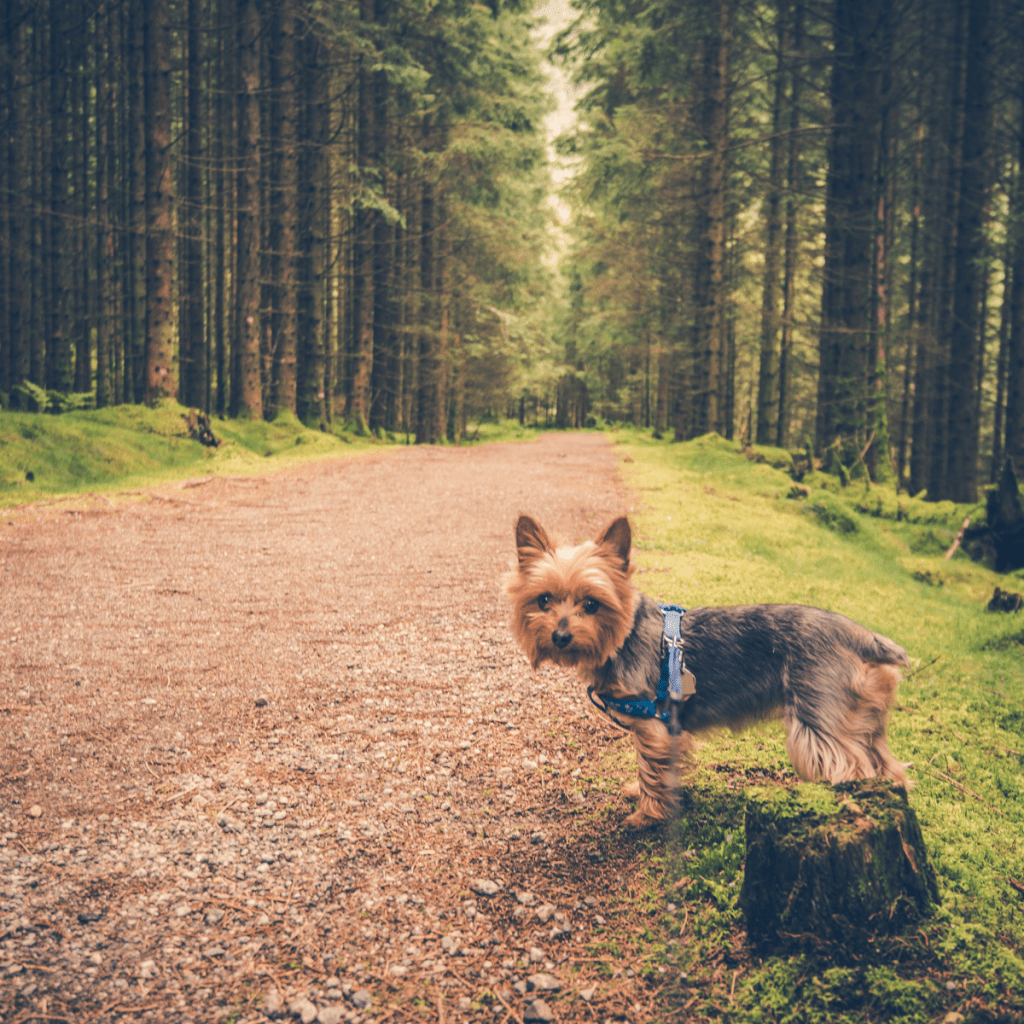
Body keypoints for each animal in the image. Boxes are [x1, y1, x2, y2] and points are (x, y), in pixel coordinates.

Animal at [503, 516, 913, 827]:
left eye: (591, 604)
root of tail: (860, 635)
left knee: (850, 766)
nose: (560, 636)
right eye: (543, 600)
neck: (622, 637)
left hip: (819, 719)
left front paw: (647, 814)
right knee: (886, 767)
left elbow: (651, 771)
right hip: (863, 718)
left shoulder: (655, 728)